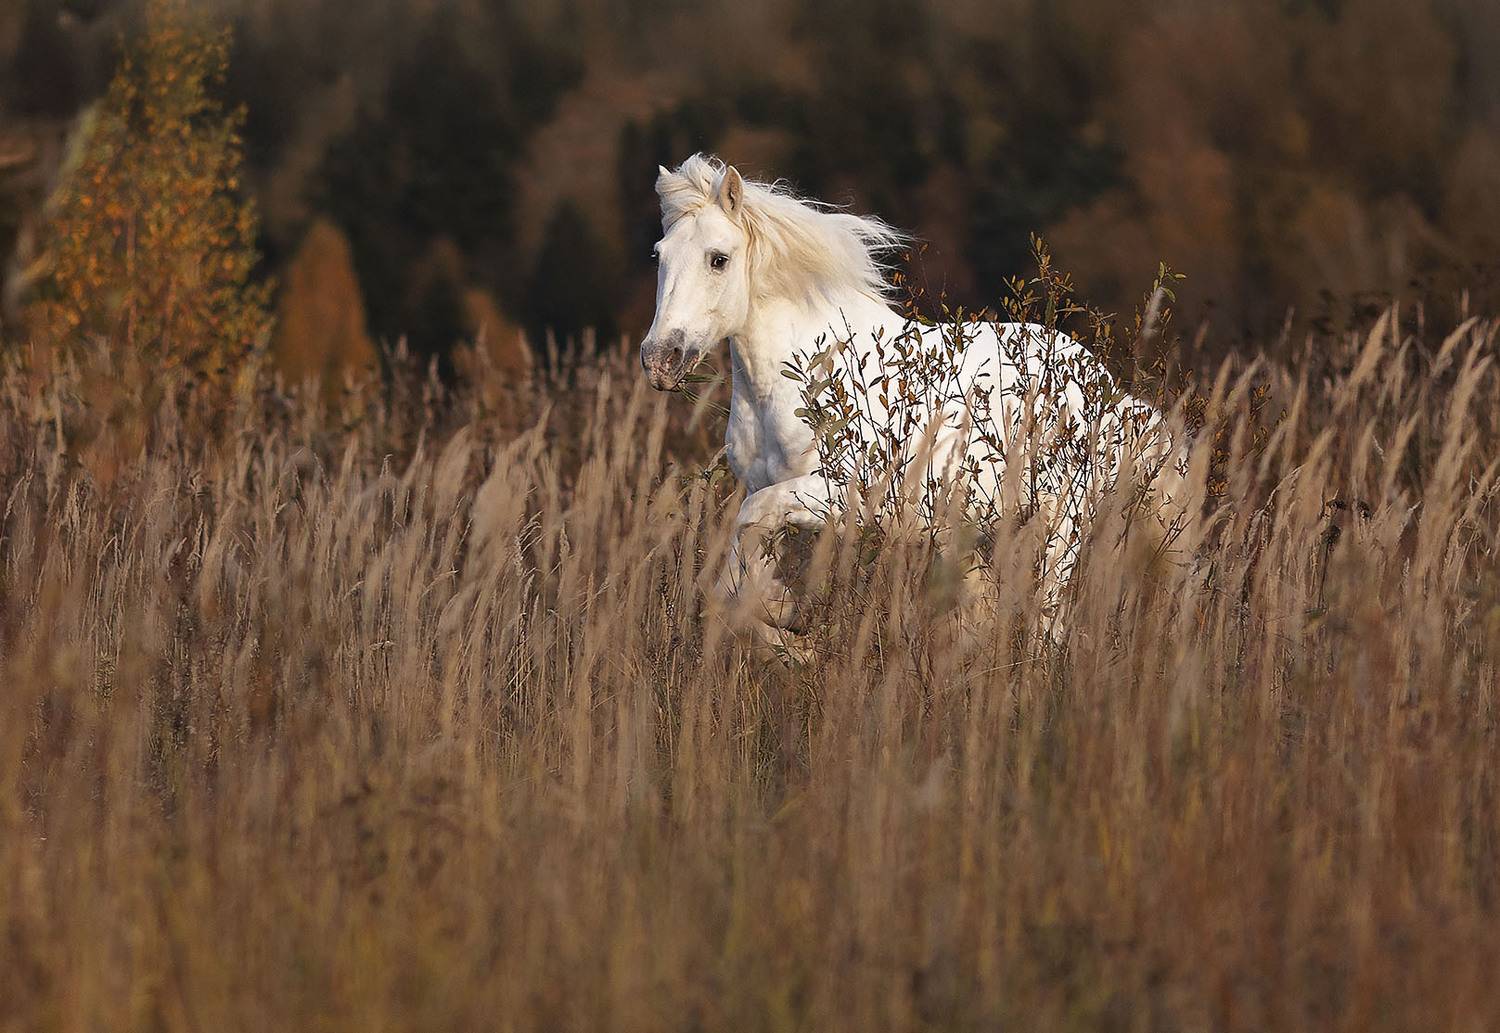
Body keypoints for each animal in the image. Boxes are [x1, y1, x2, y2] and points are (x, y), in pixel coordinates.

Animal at [638, 153, 1189, 648]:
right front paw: (786, 626)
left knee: (1047, 626)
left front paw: (789, 621)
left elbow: (750, 525)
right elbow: (741, 572)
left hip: (1060, 531)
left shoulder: (847, 496)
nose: (660, 359)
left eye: (718, 259)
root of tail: (1108, 390)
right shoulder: (775, 496)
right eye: (659, 256)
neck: (804, 379)